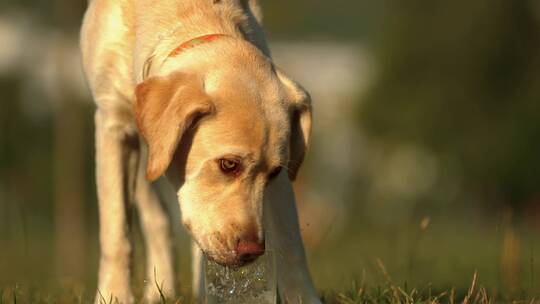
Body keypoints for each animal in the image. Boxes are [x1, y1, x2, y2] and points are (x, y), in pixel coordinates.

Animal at [78, 0, 318, 302]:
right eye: (229, 164)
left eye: (274, 172)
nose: (252, 251)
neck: (190, 11)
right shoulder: (113, 125)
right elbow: (117, 231)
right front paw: (114, 295)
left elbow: (290, 240)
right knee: (155, 217)